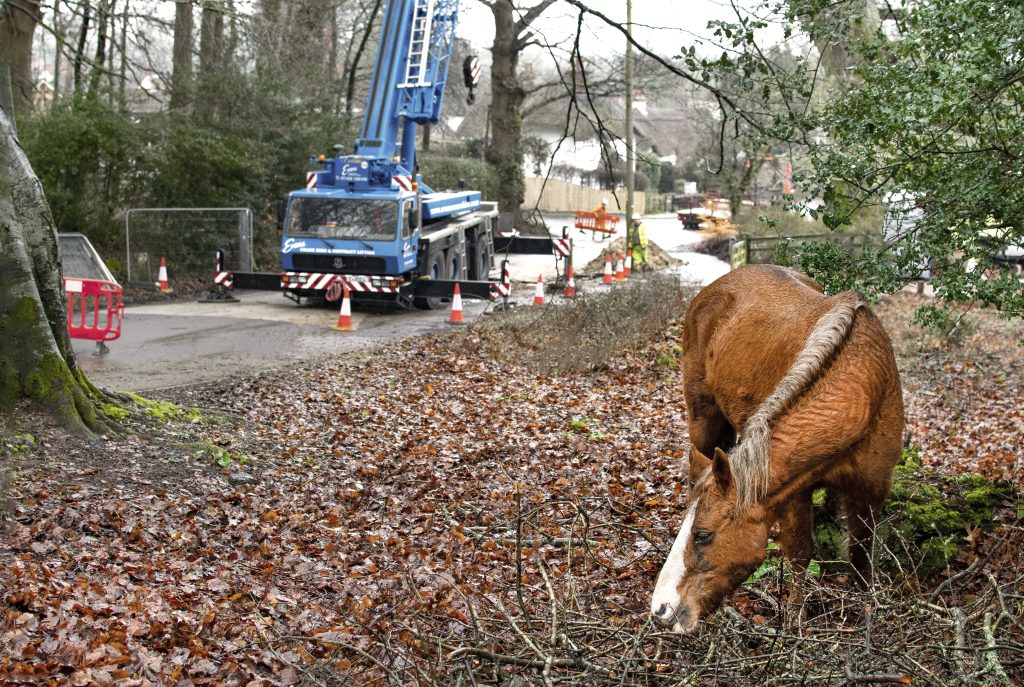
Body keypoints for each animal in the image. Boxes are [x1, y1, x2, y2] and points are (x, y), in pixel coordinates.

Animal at [651, 264, 901, 634]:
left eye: (703, 535)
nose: (661, 608)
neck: (862, 388)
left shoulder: (873, 486)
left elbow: (860, 552)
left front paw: (866, 608)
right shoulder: (793, 492)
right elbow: (799, 551)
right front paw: (794, 624)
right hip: (703, 422)